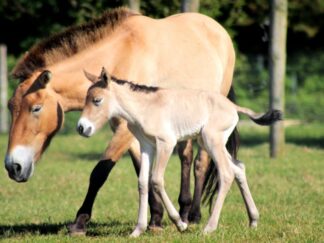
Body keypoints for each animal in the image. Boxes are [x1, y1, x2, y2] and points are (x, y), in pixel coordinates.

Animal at [3, 7, 237, 234]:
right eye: (10, 107)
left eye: (36, 108)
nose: (13, 167)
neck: (121, 57)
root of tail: (218, 30)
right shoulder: (134, 132)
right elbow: (143, 173)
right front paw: (156, 219)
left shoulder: (125, 131)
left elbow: (99, 172)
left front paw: (79, 223)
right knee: (186, 156)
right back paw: (185, 210)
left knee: (201, 162)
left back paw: (195, 216)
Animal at [77, 67, 282, 236]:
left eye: (97, 100)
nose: (81, 128)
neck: (144, 107)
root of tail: (233, 107)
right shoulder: (147, 146)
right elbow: (143, 182)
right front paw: (138, 230)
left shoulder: (166, 143)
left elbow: (156, 180)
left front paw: (180, 224)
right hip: (209, 142)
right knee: (239, 167)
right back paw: (253, 220)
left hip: (212, 141)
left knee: (226, 173)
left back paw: (209, 228)